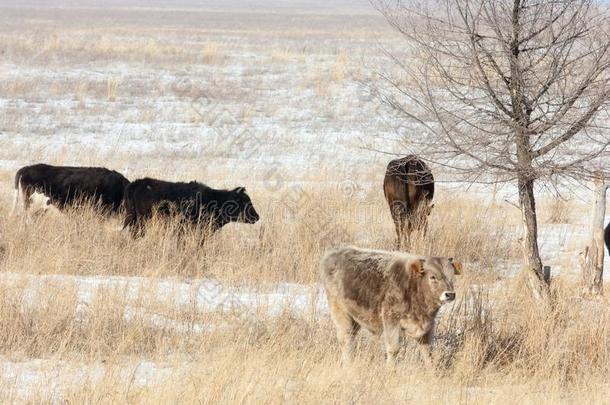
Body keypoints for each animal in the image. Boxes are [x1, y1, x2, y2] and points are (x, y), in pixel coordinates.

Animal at [320, 245, 458, 364]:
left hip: (355, 317)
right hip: (340, 312)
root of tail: (336, 252)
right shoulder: (391, 320)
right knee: (346, 339)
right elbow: (393, 349)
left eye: (452, 277)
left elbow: (428, 353)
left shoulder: (427, 327)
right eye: (432, 277)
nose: (450, 294)